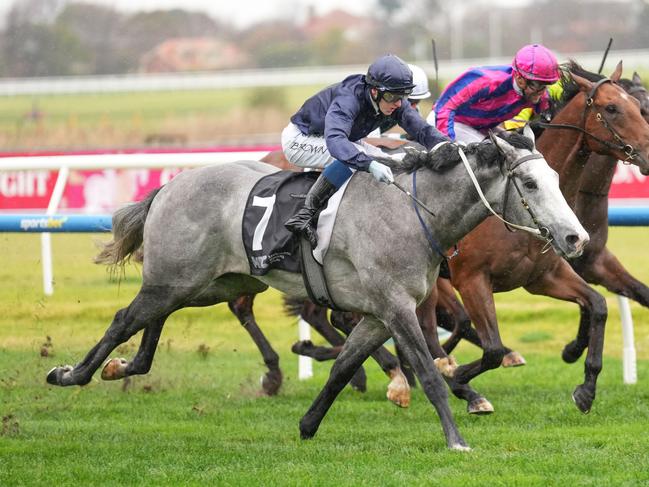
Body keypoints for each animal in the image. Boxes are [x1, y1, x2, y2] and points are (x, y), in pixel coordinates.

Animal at [48, 127, 588, 452]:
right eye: (530, 185)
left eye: (555, 177)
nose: (575, 238)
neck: (413, 212)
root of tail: (169, 185)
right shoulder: (398, 309)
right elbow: (431, 375)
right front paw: (455, 437)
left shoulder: (377, 315)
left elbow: (344, 367)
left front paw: (308, 425)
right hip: (176, 279)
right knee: (124, 319)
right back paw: (71, 373)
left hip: (202, 283)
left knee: (151, 323)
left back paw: (122, 368)